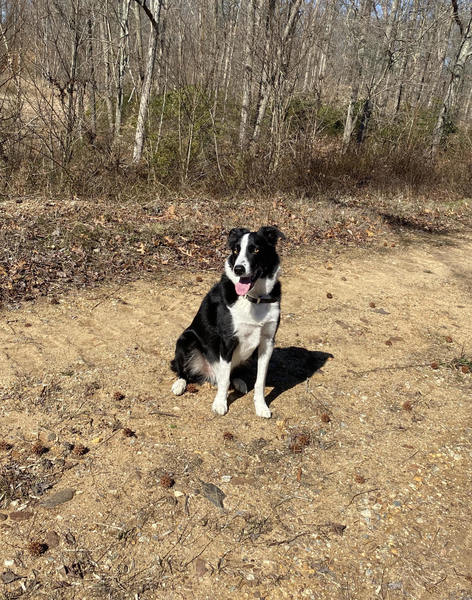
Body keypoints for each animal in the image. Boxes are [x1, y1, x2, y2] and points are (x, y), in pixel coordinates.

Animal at [171, 225, 284, 418]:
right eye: (236, 250)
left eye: (256, 249)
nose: (238, 269)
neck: (254, 299)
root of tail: (209, 374)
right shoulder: (227, 341)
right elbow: (224, 381)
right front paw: (220, 403)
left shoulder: (267, 342)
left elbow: (260, 381)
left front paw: (261, 406)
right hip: (186, 339)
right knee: (185, 371)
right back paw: (180, 384)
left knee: (231, 374)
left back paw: (239, 382)